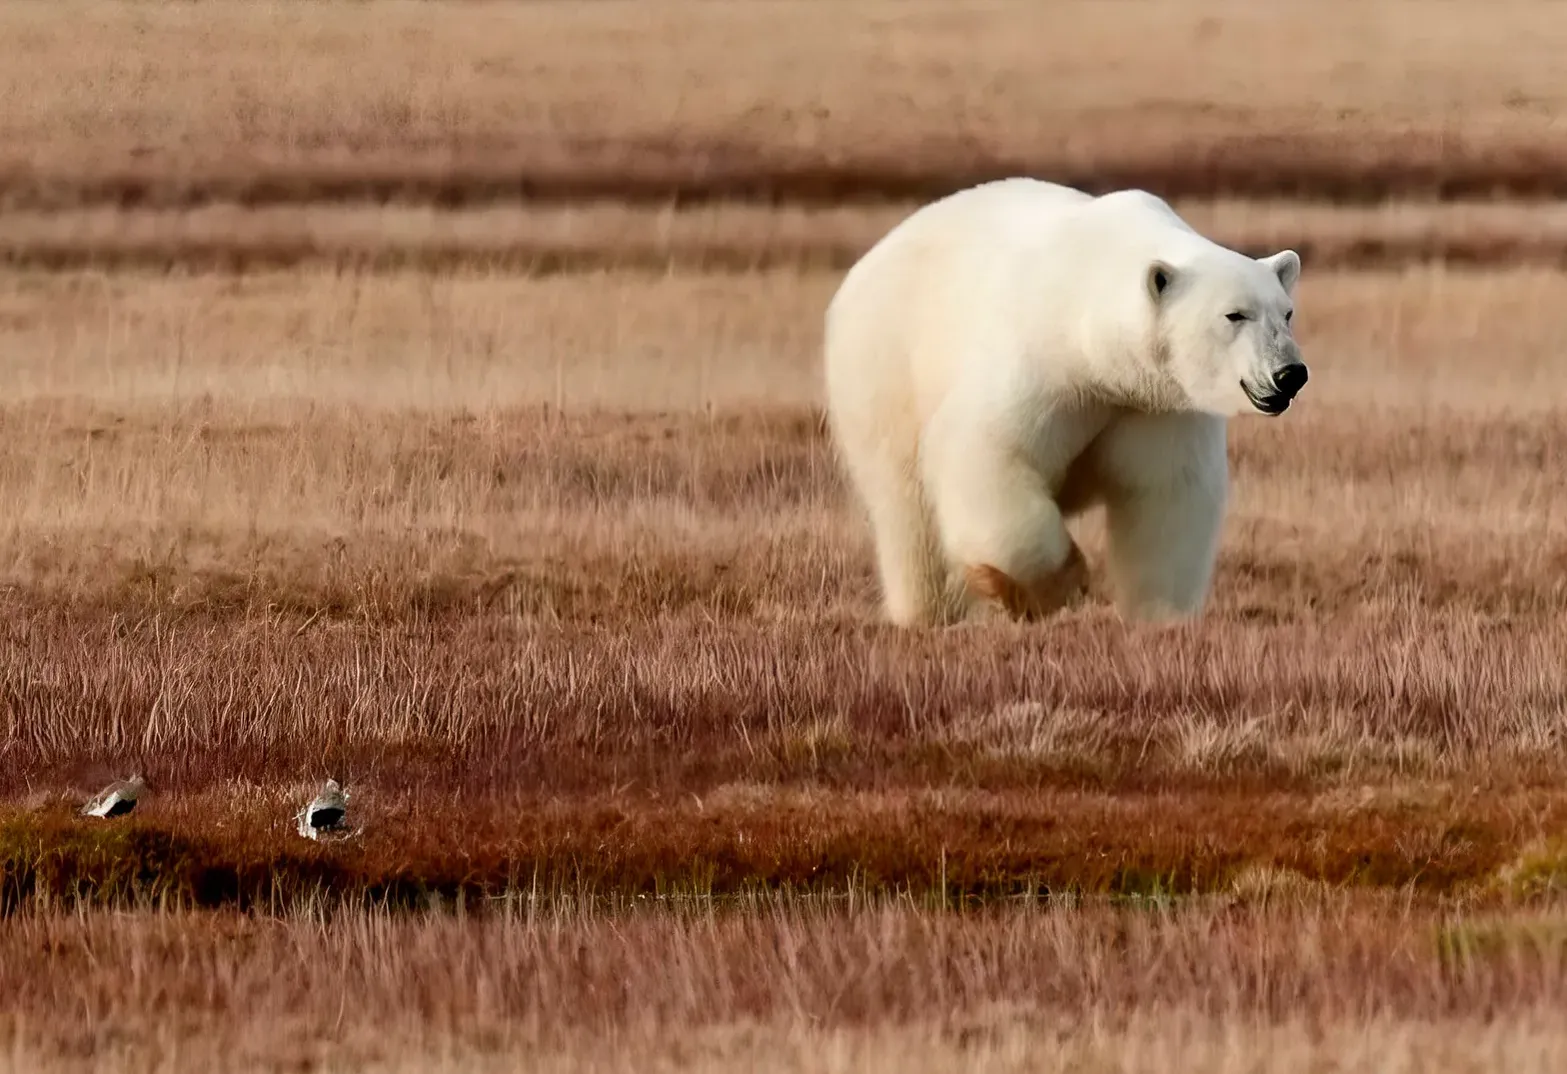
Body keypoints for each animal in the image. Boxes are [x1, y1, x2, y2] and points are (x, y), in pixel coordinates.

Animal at [821, 177, 1310, 627]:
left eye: (1286, 313)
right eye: (1235, 314)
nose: (1289, 374)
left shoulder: (1157, 405)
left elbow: (1166, 491)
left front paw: (1161, 617)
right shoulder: (1045, 369)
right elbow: (988, 454)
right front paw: (1058, 585)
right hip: (883, 371)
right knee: (907, 509)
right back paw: (930, 611)